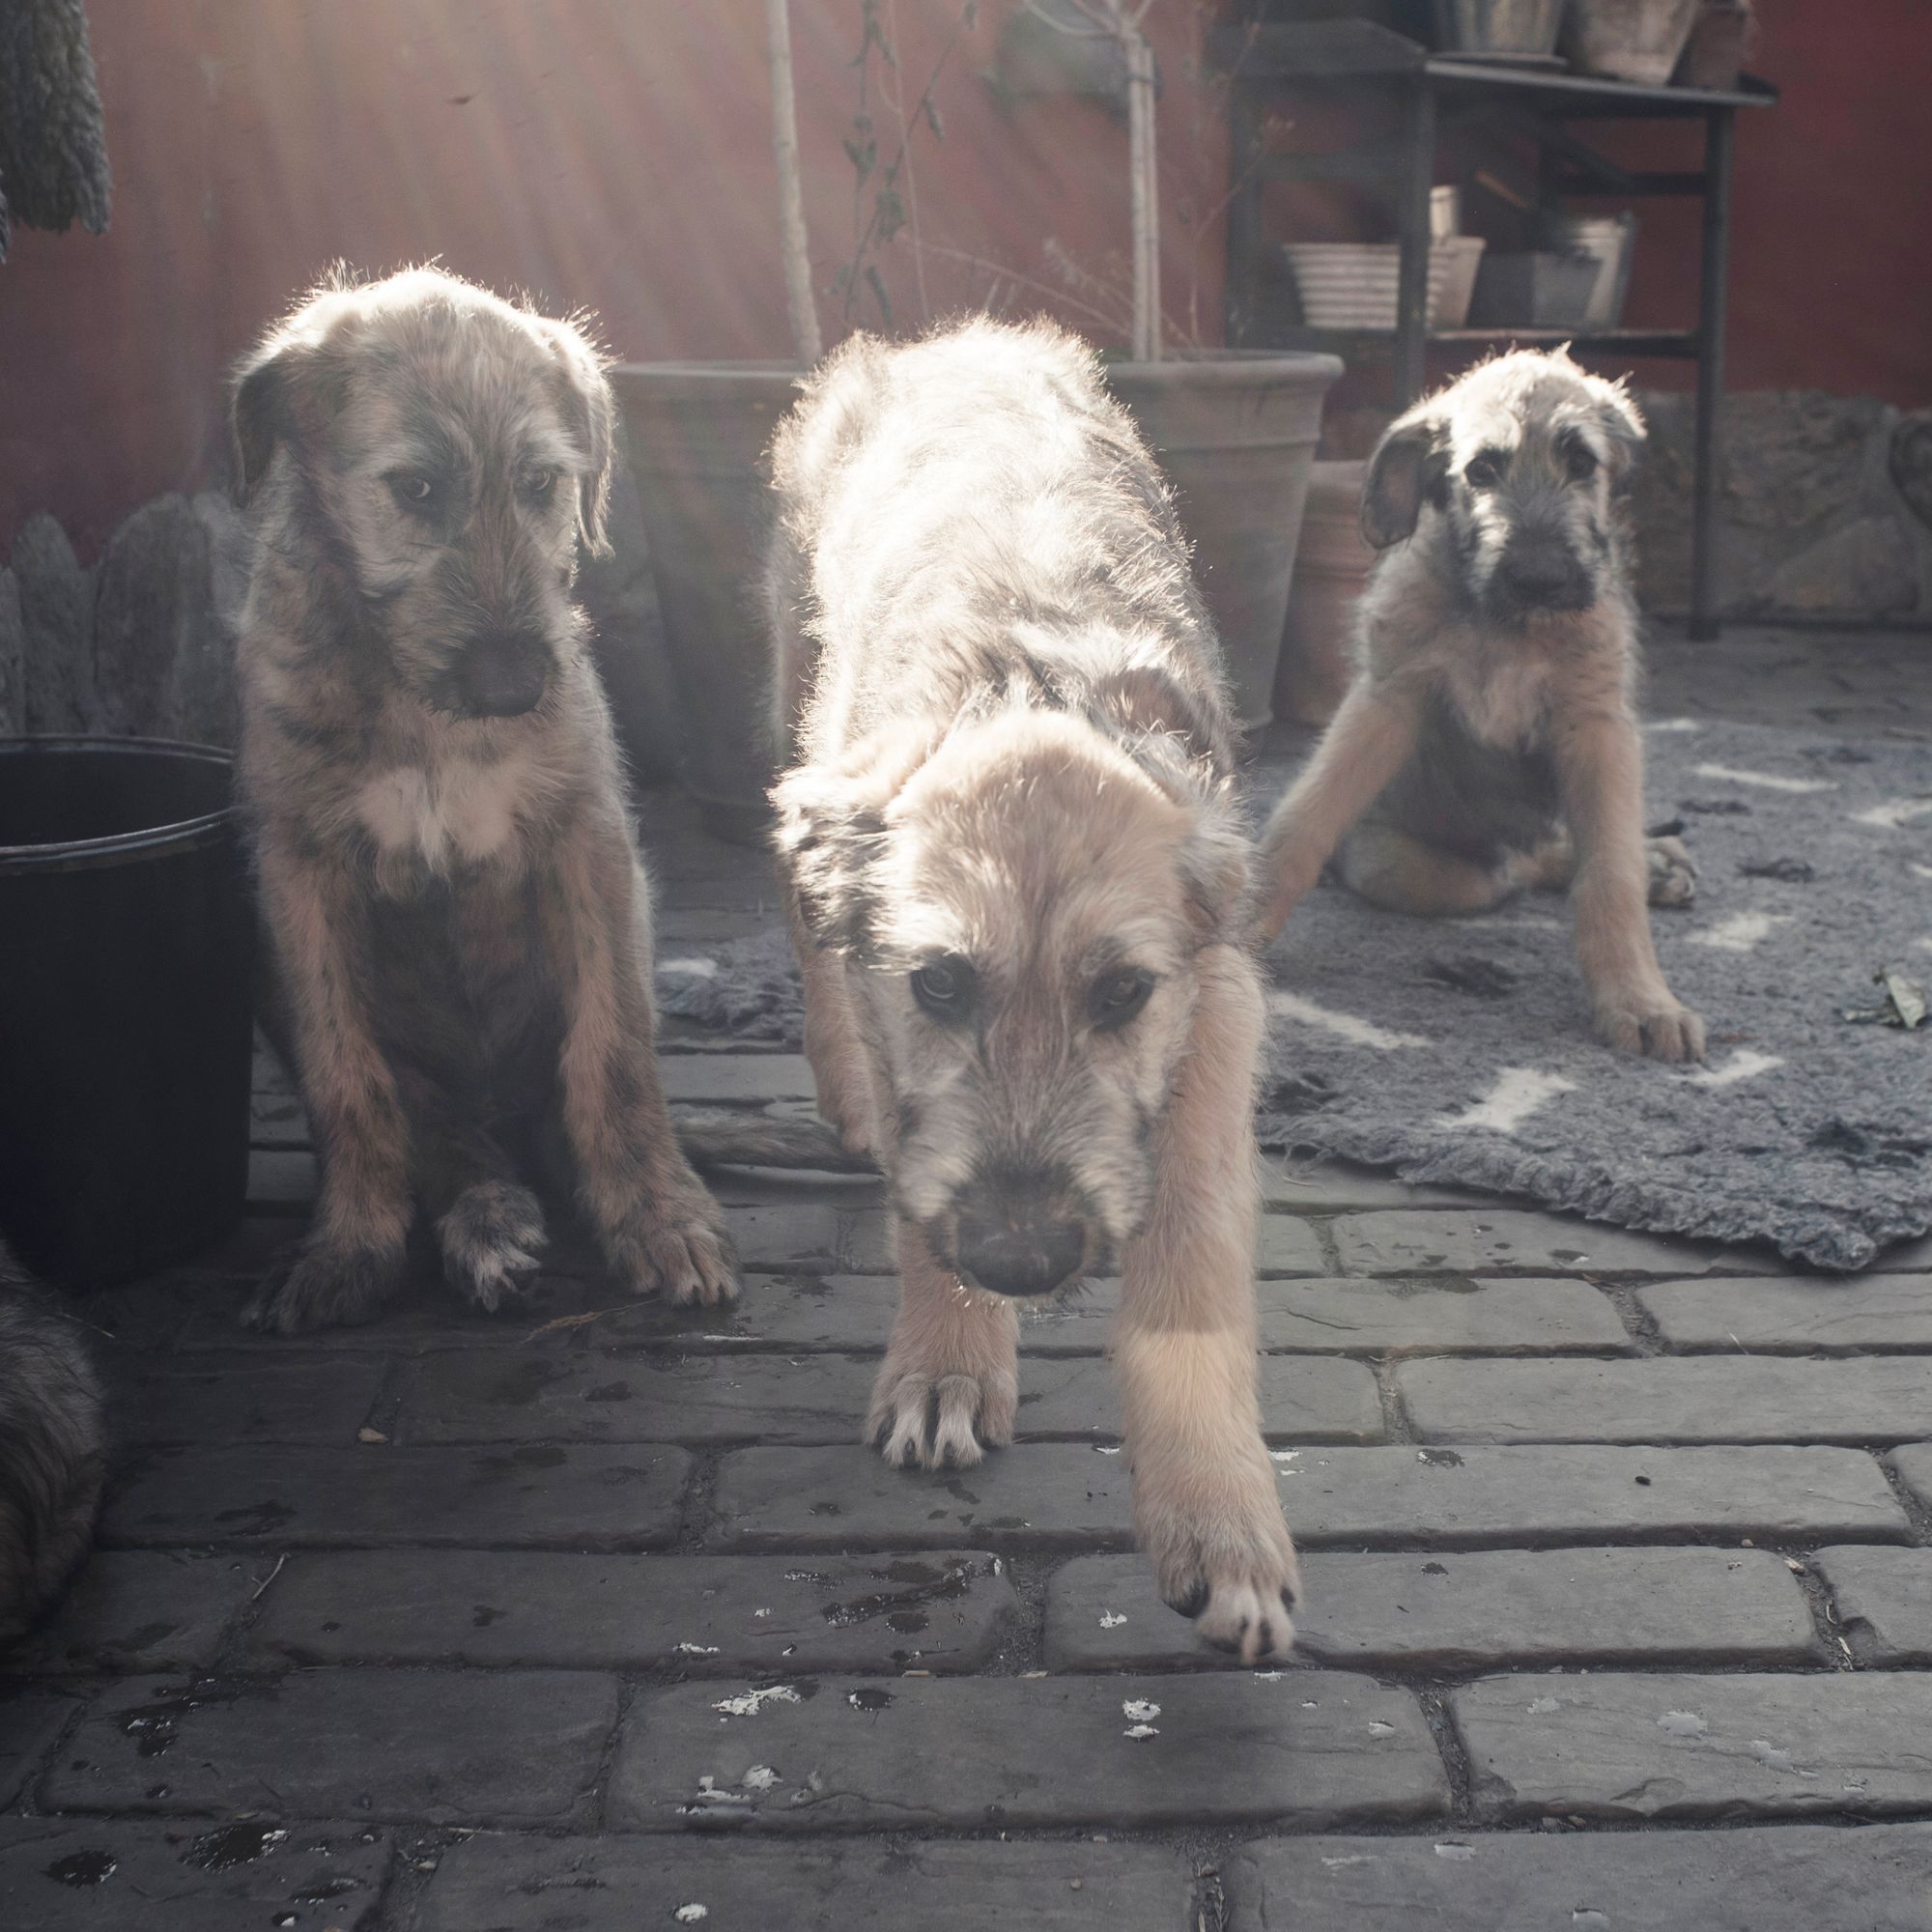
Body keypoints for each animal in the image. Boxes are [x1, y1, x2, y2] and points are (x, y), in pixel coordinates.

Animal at [228, 269, 738, 1329]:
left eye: (541, 483)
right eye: (416, 489)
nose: (515, 685)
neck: (418, 708)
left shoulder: (589, 840)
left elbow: (614, 1049)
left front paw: (659, 1215)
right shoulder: (298, 874)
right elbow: (347, 1077)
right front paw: (351, 1244)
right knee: (441, 1135)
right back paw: (487, 1220)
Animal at [769, 317, 1298, 1662]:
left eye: (1119, 993)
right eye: (938, 983)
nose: (1017, 1261)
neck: (1027, 682)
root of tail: (953, 337)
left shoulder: (1214, 1008)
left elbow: (1193, 1254)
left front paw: (1218, 1513)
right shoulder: (887, 999)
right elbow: (916, 1186)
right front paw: (948, 1354)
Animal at [1260, 355, 1700, 1066]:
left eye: (1582, 462)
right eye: (1480, 472)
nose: (1541, 577)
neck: (1508, 627)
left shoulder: (1596, 727)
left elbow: (1610, 871)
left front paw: (1640, 998)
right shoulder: (1388, 698)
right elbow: (1301, 820)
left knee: (1548, 851)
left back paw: (1654, 862)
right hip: (1415, 871)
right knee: (1511, 863)